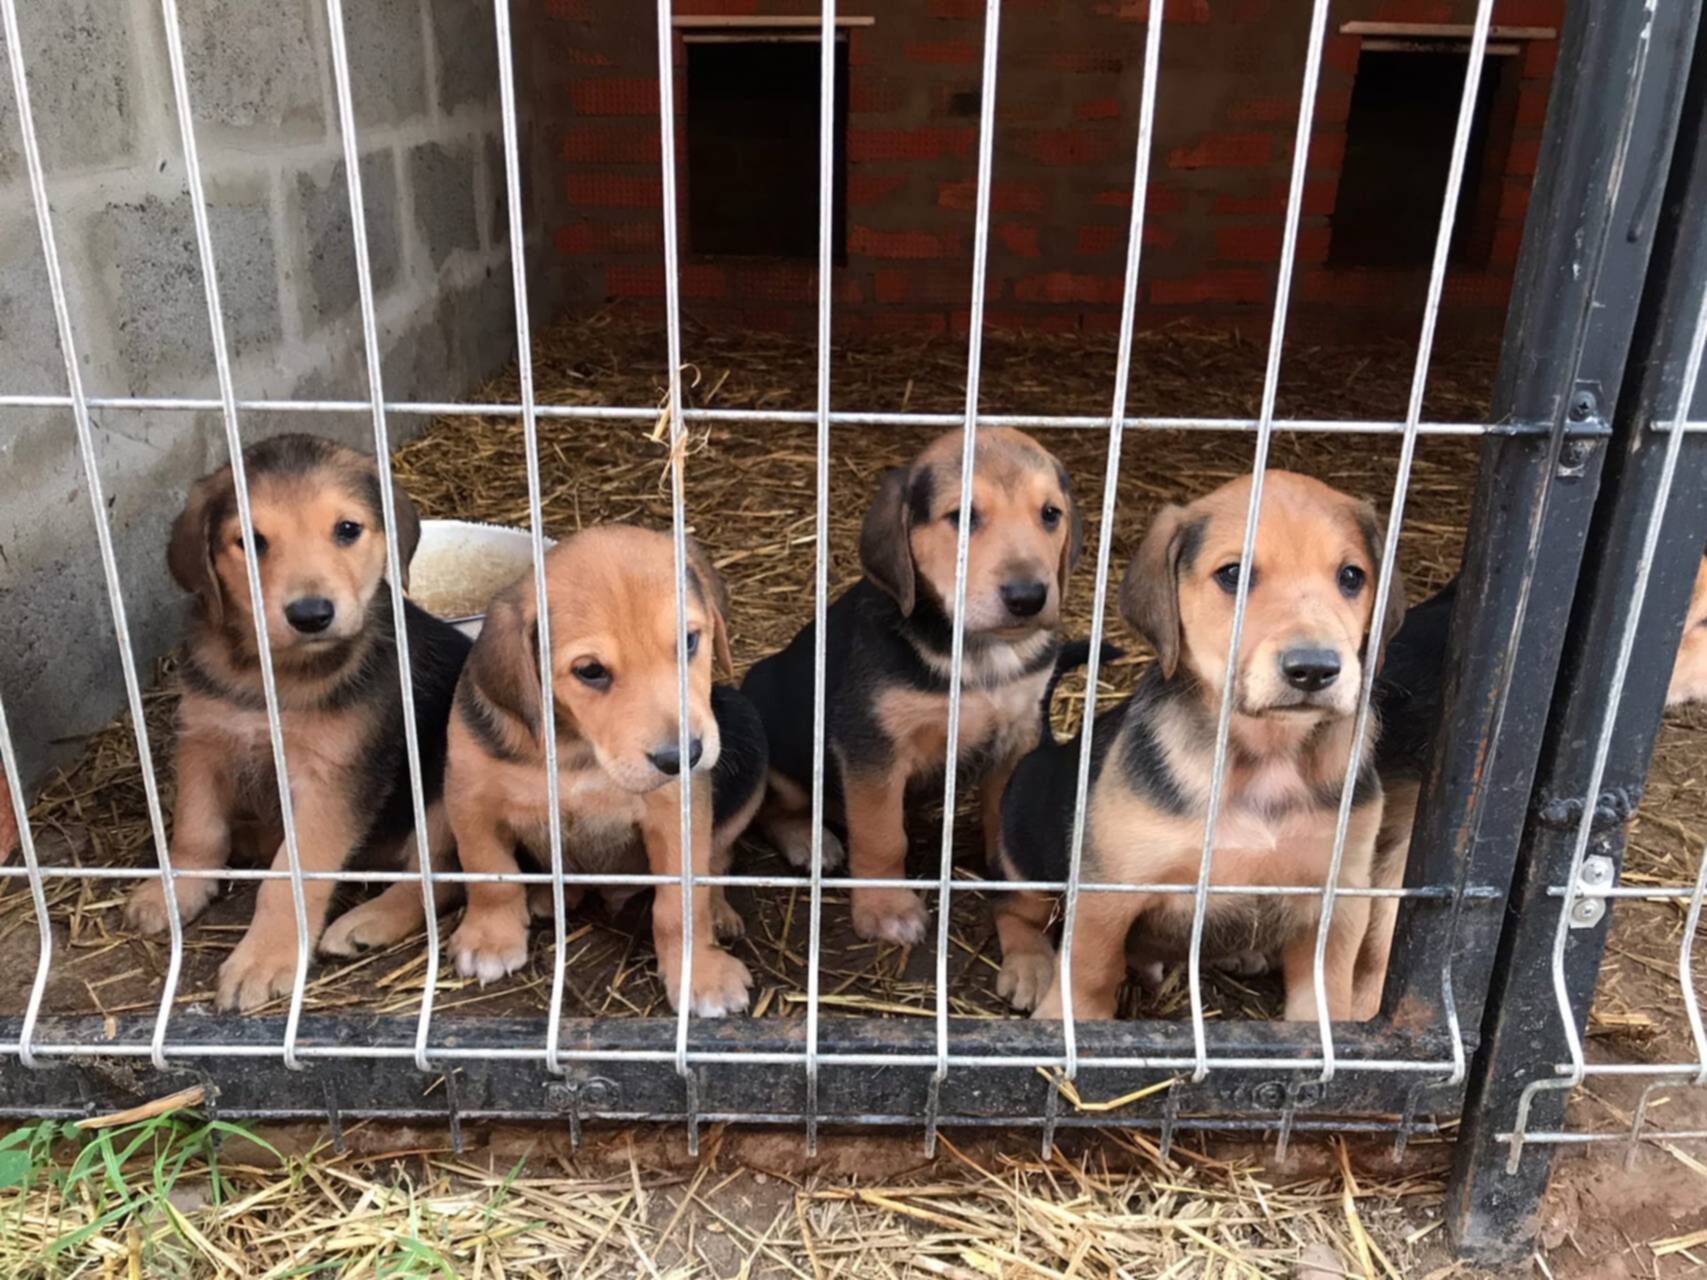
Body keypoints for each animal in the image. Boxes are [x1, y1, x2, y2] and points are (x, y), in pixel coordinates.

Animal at [124, 440, 474, 1010]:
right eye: (251, 541)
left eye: (348, 530)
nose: (311, 614)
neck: (275, 675)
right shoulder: (202, 739)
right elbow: (195, 829)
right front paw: (173, 890)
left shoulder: (335, 777)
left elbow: (288, 874)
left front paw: (264, 957)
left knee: (444, 876)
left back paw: (368, 921)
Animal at [443, 525, 764, 1017]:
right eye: (591, 671)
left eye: (690, 641)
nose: (683, 757)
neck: (580, 750)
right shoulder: (469, 797)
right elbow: (489, 872)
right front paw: (489, 941)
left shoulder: (676, 814)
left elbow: (681, 904)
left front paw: (701, 974)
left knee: (719, 858)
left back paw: (721, 914)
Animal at [740, 426, 1085, 948]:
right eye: (962, 516)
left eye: (1050, 514)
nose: (1028, 597)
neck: (976, 649)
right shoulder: (871, 745)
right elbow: (882, 836)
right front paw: (887, 910)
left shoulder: (1018, 733)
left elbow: (1004, 813)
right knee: (774, 807)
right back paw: (810, 841)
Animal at [996, 477, 1406, 1030]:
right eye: (1232, 574)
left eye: (1351, 577)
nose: (1315, 669)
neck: (1267, 757)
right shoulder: (1109, 890)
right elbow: (1089, 971)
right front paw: (1067, 1019)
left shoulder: (1339, 898)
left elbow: (1325, 991)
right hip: (1024, 851)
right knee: (1017, 912)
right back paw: (1029, 967)